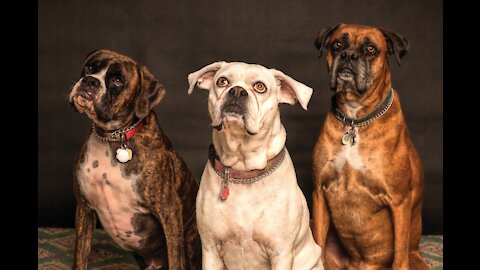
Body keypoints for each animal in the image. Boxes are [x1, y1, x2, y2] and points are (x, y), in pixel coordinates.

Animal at [69, 49, 201, 268]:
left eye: (117, 80)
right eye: (90, 67)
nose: (90, 81)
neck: (113, 137)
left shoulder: (169, 211)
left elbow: (176, 259)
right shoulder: (84, 209)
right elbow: (80, 257)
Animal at [189, 61, 324, 270]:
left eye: (260, 87)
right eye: (222, 81)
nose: (237, 91)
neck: (242, 168)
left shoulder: (281, 253)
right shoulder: (210, 249)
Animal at [312, 24, 428, 268]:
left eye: (370, 49)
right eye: (337, 44)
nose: (348, 55)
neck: (355, 119)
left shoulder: (399, 202)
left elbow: (399, 256)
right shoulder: (318, 192)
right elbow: (316, 241)